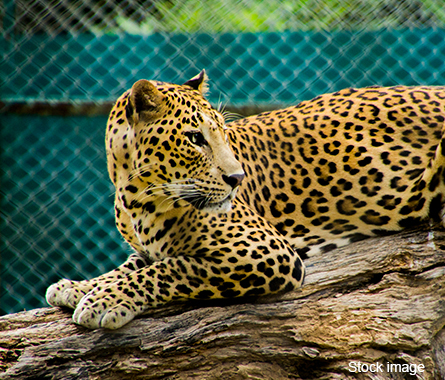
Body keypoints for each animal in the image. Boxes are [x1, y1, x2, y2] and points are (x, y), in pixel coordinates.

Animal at [46, 71, 444, 330]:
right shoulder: (145, 246)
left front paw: (106, 300)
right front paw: (81, 287)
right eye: (194, 138)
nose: (237, 179)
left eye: (222, 132)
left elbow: (172, 268)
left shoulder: (270, 252)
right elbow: (131, 265)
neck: (138, 196)